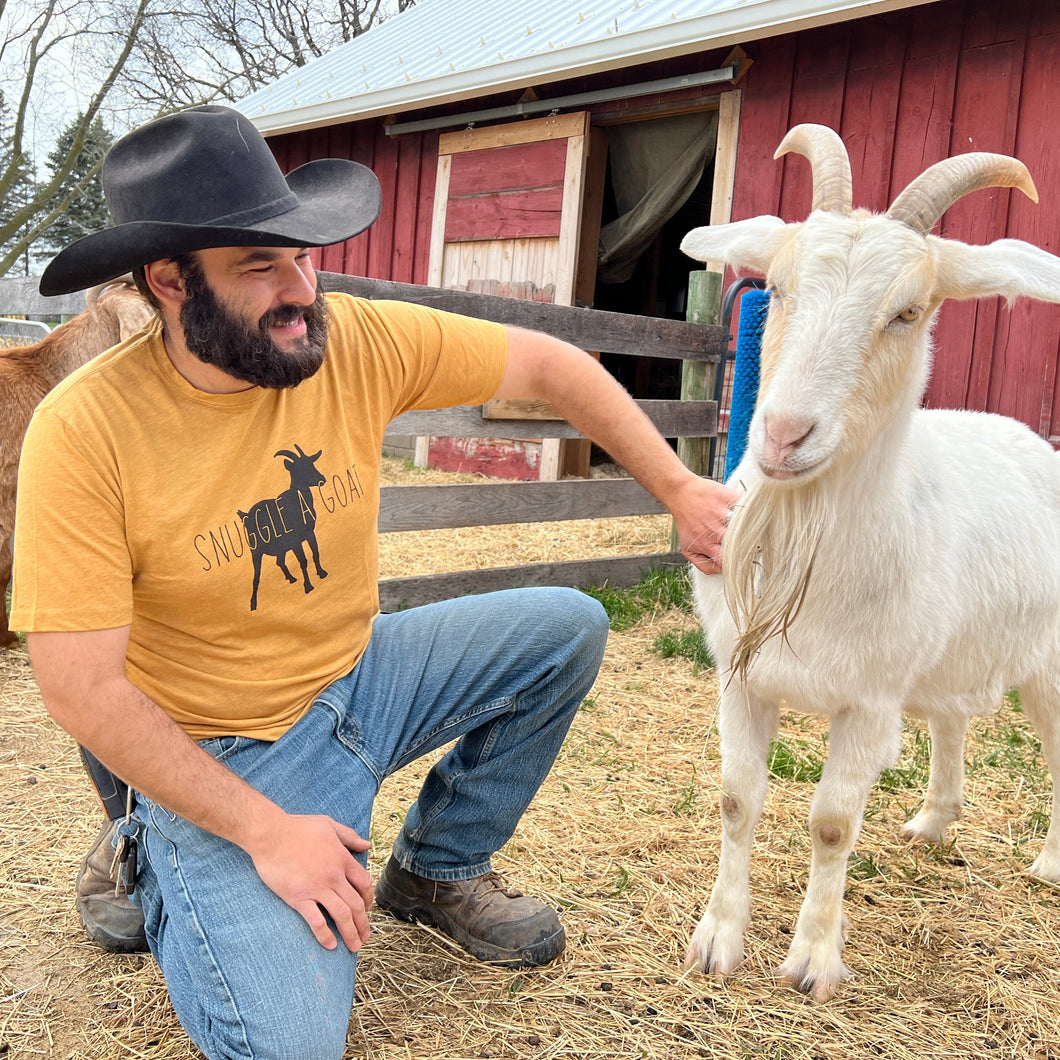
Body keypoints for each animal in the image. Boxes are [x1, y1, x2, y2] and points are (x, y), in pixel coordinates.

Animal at [678, 126, 1060, 1000]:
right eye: (776, 287)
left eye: (907, 312)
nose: (784, 433)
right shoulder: (742, 678)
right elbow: (737, 801)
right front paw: (716, 942)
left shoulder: (869, 702)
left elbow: (830, 824)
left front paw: (814, 961)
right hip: (951, 656)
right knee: (952, 721)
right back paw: (932, 821)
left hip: (1049, 664)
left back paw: (1050, 863)